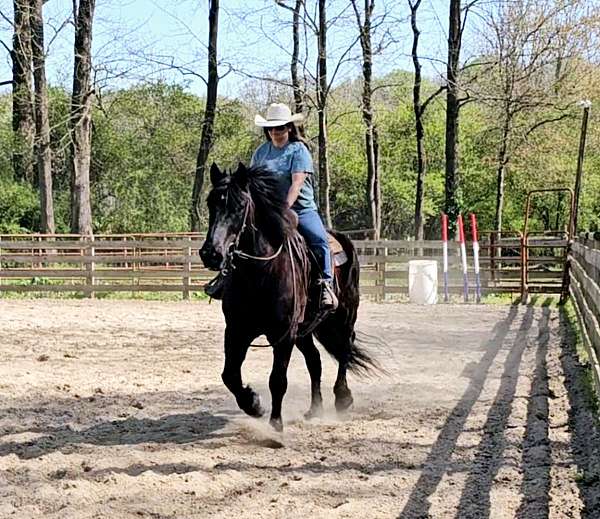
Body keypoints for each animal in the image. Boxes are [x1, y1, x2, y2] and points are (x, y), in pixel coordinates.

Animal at [202, 162, 380, 430]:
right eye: (210, 203)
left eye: (240, 206)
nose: (211, 253)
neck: (259, 274)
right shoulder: (236, 329)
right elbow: (230, 375)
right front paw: (254, 404)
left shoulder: (284, 334)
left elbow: (277, 380)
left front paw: (275, 425)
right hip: (304, 330)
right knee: (315, 361)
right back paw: (315, 408)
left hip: (345, 315)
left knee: (344, 349)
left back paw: (342, 398)